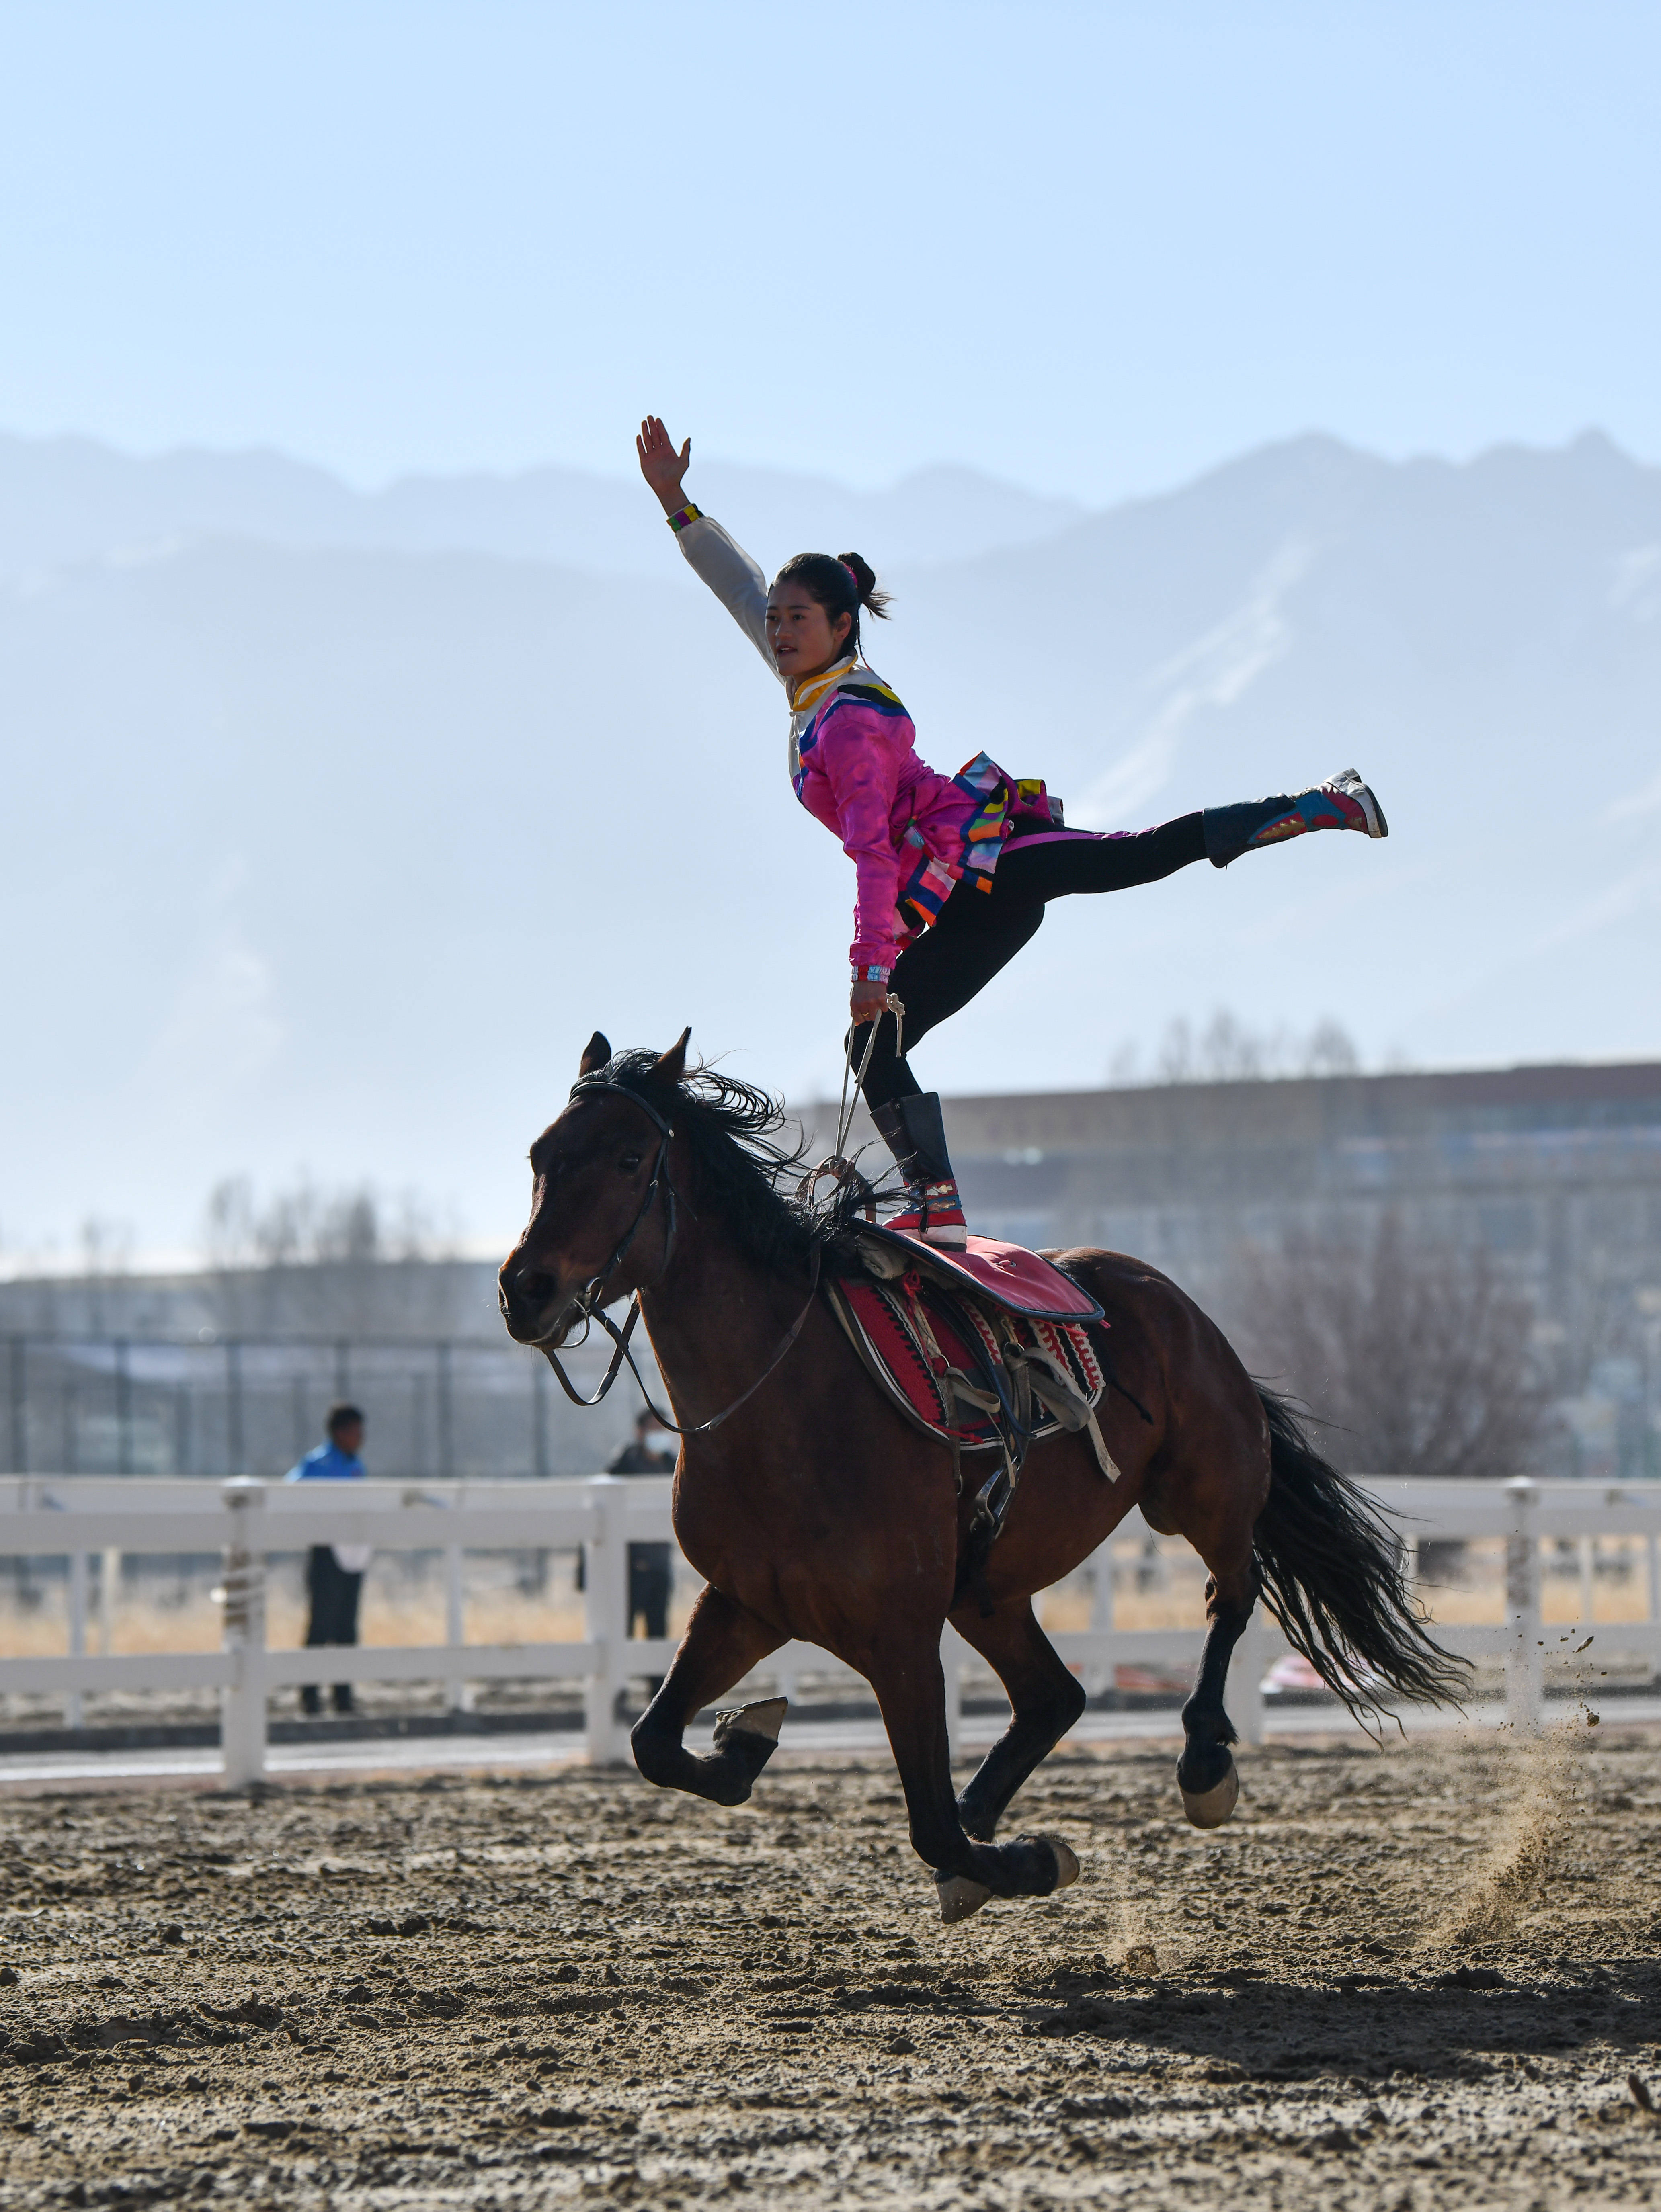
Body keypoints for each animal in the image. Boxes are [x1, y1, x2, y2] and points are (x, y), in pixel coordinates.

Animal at [497, 1035, 1468, 1920]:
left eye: (629, 1157)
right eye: (541, 1155)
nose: (524, 1289)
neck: (784, 1402)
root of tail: (1170, 1300)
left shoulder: (898, 1635)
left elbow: (927, 1820)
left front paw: (1028, 1859)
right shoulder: (745, 1604)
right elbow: (653, 1740)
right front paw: (744, 1742)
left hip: (1204, 1493)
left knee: (1230, 1595)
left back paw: (1199, 1763)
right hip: (987, 1590)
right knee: (1054, 1696)